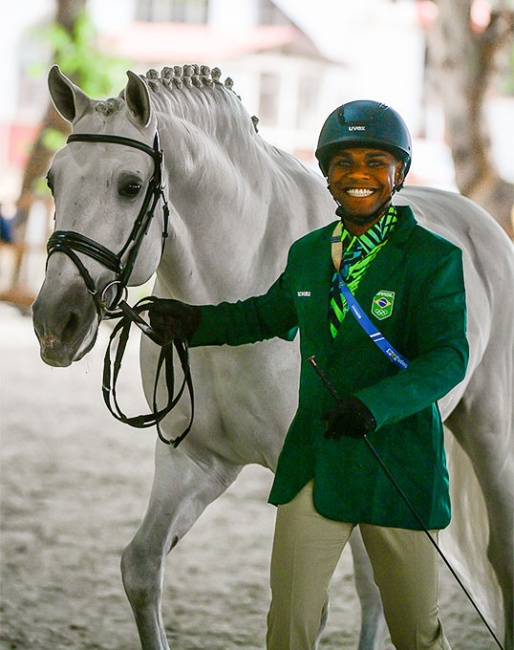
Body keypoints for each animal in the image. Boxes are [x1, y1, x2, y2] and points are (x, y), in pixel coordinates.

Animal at [33, 64, 512, 648]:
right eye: (53, 180)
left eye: (130, 186)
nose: (54, 323)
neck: (242, 265)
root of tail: (482, 223)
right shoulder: (195, 462)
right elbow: (142, 569)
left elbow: (313, 606)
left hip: (489, 435)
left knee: (479, 562)